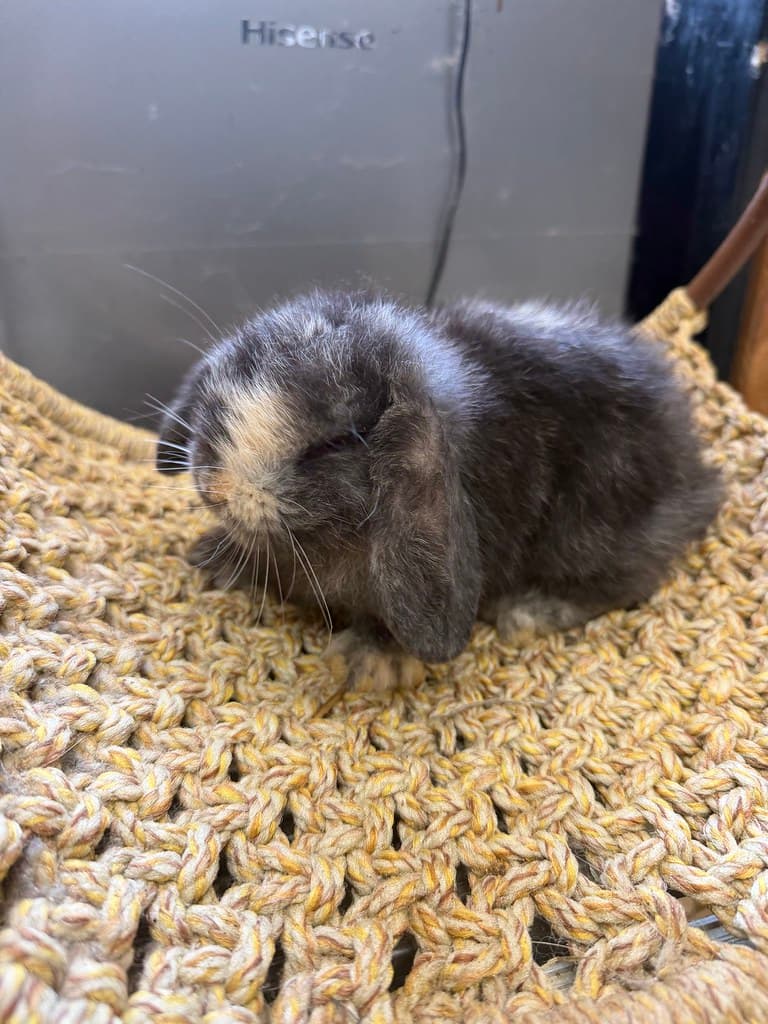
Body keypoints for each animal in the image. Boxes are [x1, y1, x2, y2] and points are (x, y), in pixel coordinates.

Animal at [156, 288, 722, 690]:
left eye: (338, 442)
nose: (216, 488)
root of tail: (697, 474)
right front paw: (215, 559)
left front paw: (366, 663)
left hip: (592, 531)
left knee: (630, 580)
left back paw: (528, 612)